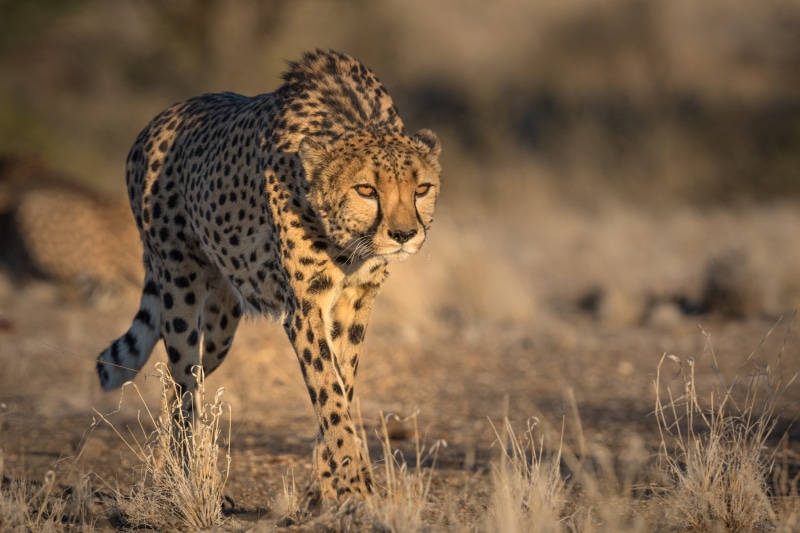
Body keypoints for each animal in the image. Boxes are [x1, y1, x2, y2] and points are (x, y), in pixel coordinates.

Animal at [95, 49, 442, 509]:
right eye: (366, 189)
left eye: (422, 189)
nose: (404, 235)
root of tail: (155, 123)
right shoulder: (304, 307)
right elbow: (328, 390)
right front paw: (353, 484)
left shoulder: (355, 302)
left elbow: (342, 385)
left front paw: (329, 483)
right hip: (179, 289)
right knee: (184, 385)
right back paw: (187, 478)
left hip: (221, 324)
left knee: (177, 383)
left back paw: (170, 470)